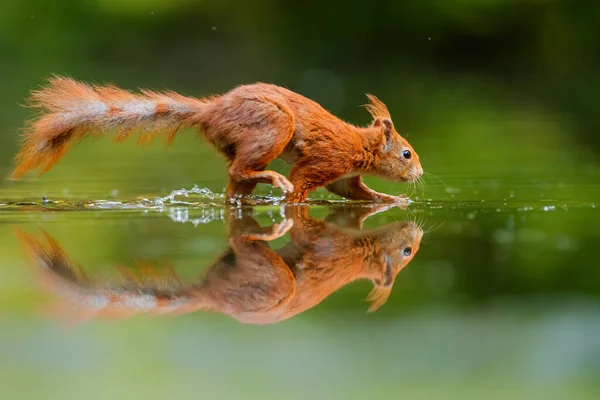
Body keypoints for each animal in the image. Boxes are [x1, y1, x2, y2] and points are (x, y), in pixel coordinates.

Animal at [10, 76, 422, 203]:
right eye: (406, 154)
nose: (419, 173)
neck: (361, 146)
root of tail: (211, 111)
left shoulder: (344, 178)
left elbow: (357, 193)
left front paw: (393, 200)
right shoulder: (327, 161)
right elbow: (303, 185)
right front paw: (293, 202)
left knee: (236, 181)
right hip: (273, 126)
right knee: (242, 170)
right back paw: (274, 179)